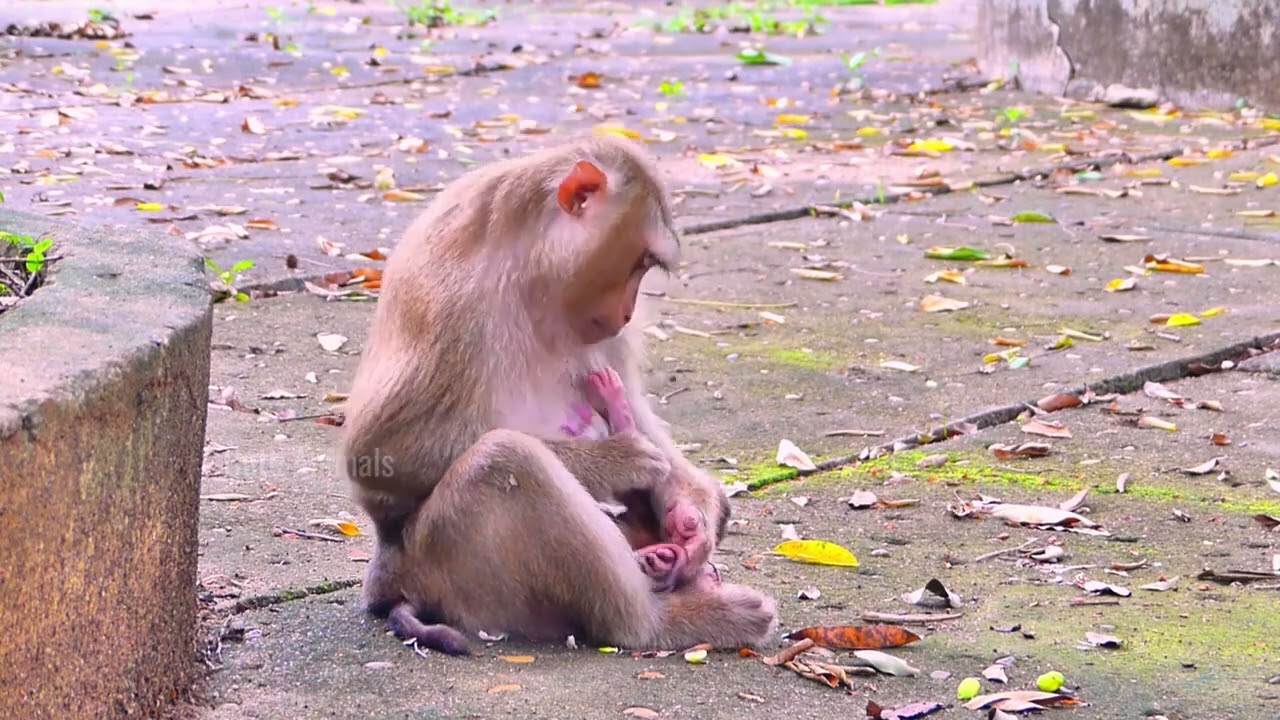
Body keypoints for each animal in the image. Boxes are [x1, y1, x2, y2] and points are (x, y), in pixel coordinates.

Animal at [341, 135, 776, 655]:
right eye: (639, 262)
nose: (628, 313)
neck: (530, 268)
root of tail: (390, 577)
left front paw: (692, 520)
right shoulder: (450, 298)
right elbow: (378, 455)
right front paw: (613, 461)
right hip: (451, 568)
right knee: (505, 461)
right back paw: (664, 621)